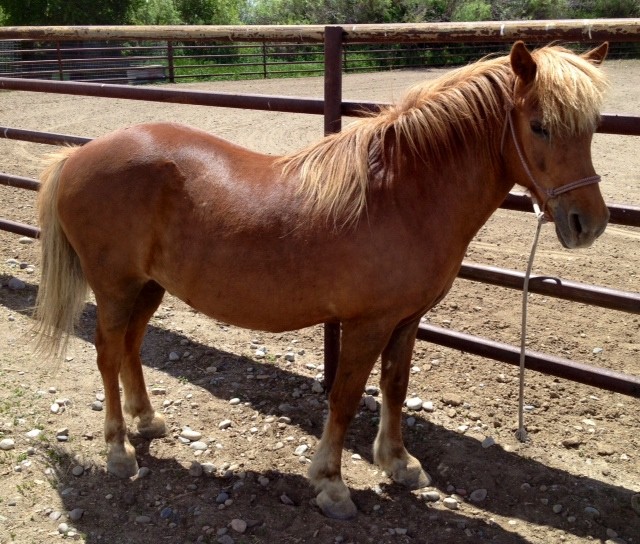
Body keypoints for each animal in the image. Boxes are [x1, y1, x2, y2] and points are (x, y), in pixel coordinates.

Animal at [34, 41, 610, 519]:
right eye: (539, 125)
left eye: (592, 127)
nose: (589, 223)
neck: (402, 194)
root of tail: (77, 155)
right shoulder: (366, 324)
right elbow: (347, 397)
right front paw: (331, 484)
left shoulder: (407, 320)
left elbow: (395, 386)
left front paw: (399, 463)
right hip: (115, 286)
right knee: (108, 354)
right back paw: (118, 449)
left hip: (148, 287)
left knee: (131, 347)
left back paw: (147, 420)